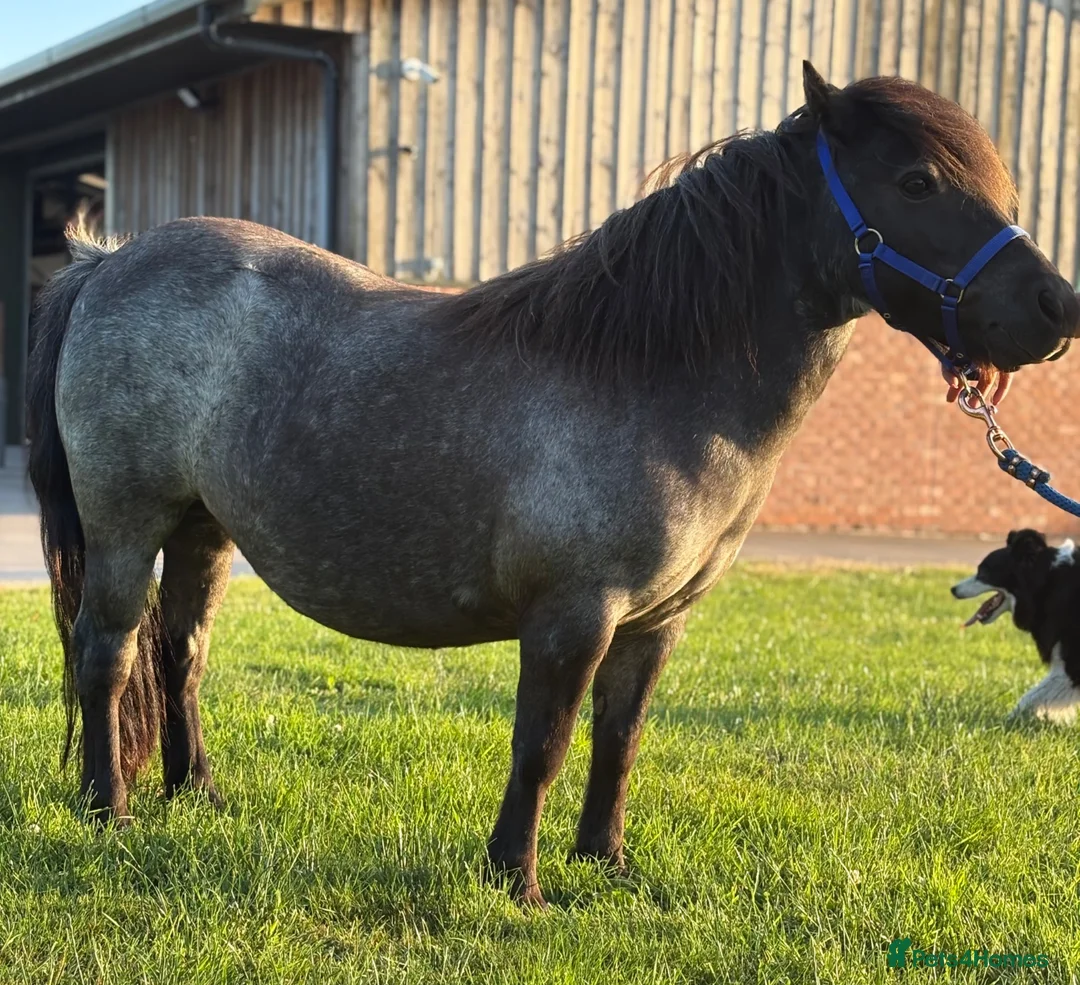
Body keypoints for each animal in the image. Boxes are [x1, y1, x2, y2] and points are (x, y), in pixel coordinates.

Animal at [25, 63, 1078, 907]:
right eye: (916, 181)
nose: (1057, 307)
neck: (652, 374)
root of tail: (108, 262)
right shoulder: (573, 615)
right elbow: (544, 744)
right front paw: (517, 882)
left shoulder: (656, 623)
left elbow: (618, 742)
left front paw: (605, 864)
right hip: (127, 527)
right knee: (108, 653)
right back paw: (109, 812)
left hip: (203, 529)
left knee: (181, 652)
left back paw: (196, 793)